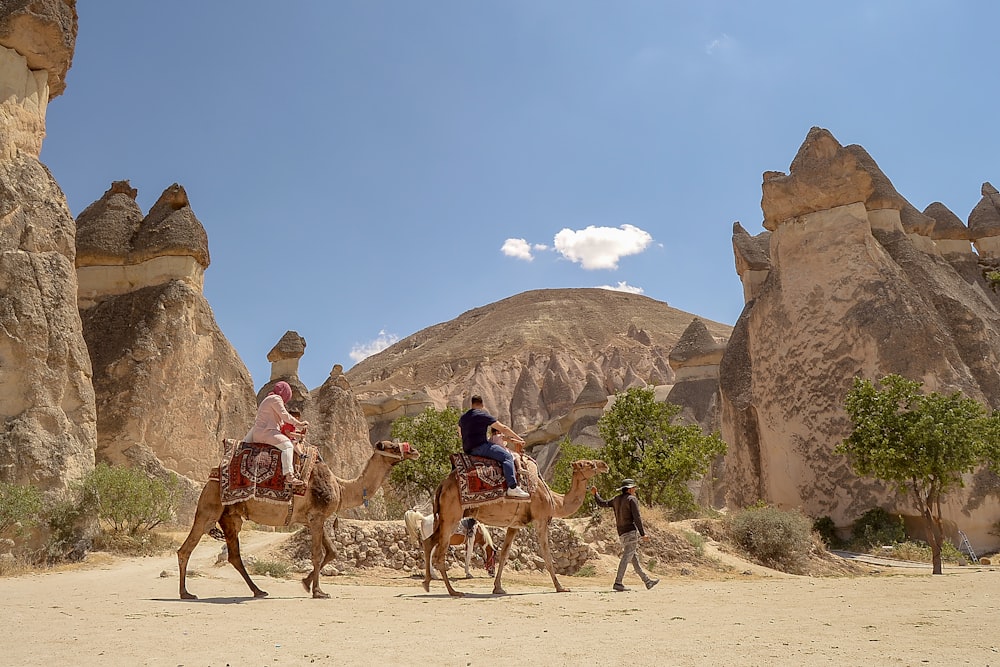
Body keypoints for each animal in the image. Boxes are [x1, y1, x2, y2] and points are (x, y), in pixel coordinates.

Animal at [176, 440, 418, 604]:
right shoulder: (317, 516)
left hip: (230, 517)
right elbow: (318, 554)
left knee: (234, 556)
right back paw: (186, 593)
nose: (413, 450)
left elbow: (332, 552)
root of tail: (214, 473)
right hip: (210, 507)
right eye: (392, 447)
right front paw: (319, 592)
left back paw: (258, 591)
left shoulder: (311, 519)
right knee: (186, 548)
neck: (341, 487)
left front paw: (306, 583)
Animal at [422, 462, 608, 596]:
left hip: (444, 518)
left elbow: (504, 554)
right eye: (588, 464)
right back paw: (453, 591)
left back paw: (427, 583)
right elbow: (547, 555)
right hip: (452, 517)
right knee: (439, 554)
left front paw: (498, 588)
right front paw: (561, 587)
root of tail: (442, 484)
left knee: (428, 541)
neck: (555, 500)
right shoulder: (541, 520)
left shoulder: (514, 525)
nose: (604, 465)